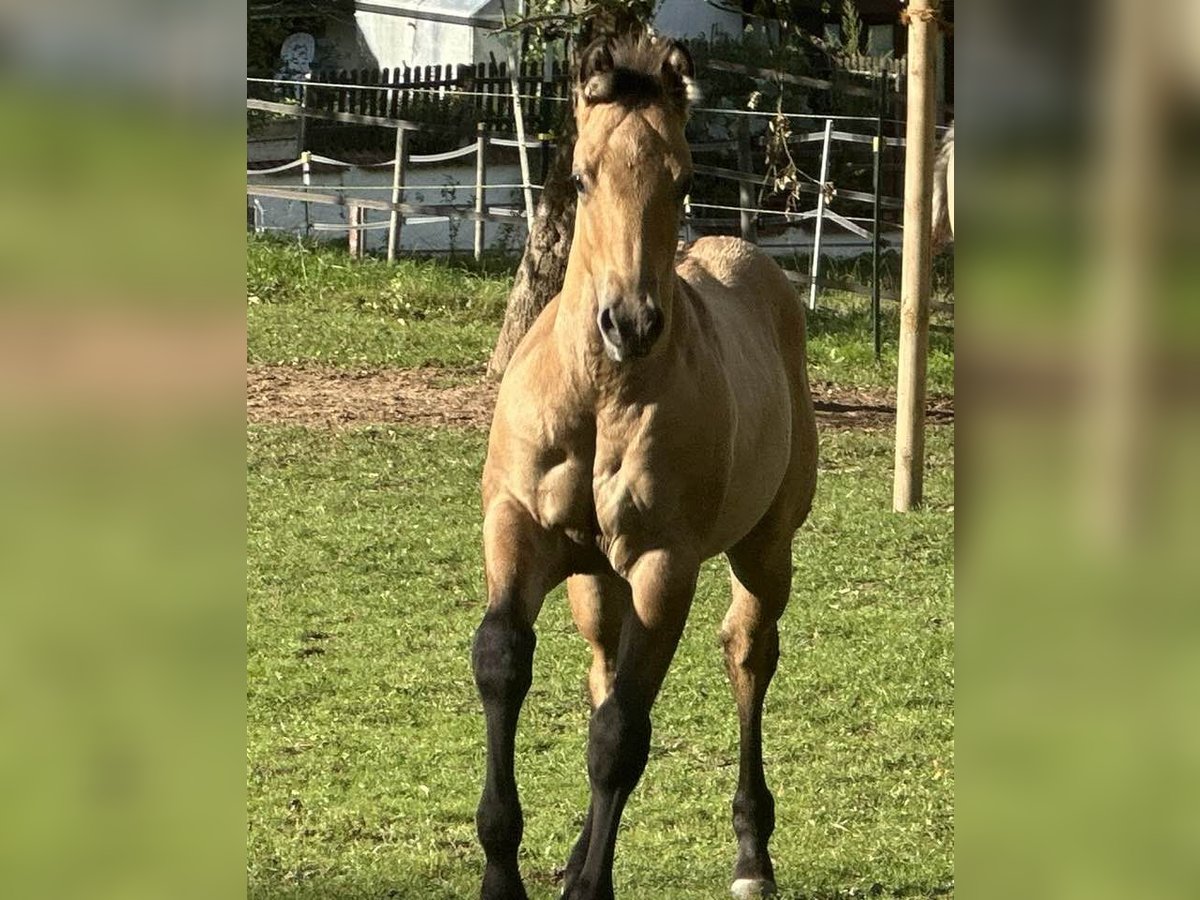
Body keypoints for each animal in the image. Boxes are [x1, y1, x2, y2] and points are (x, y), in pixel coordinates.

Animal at [472, 33, 818, 900]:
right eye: (582, 176)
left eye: (684, 178)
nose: (628, 322)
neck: (601, 393)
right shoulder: (516, 528)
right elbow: (502, 662)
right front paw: (505, 870)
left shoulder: (667, 563)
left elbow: (621, 733)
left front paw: (588, 887)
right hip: (597, 578)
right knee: (603, 665)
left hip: (765, 550)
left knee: (747, 654)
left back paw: (751, 856)